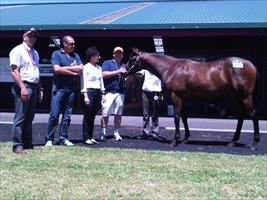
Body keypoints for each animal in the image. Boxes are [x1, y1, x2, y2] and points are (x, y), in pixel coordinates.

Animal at [126, 47, 260, 149]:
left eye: (132, 59)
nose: (125, 72)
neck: (172, 68)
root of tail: (250, 64)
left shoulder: (176, 96)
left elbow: (177, 118)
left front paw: (175, 140)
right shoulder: (183, 98)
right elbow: (184, 118)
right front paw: (186, 138)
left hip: (245, 96)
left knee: (253, 115)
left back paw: (254, 143)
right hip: (237, 96)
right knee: (241, 117)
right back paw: (233, 141)